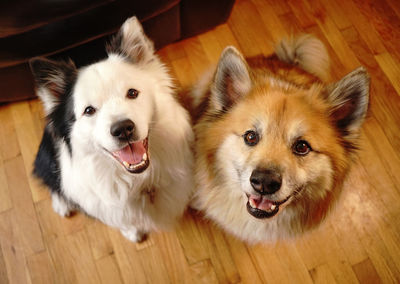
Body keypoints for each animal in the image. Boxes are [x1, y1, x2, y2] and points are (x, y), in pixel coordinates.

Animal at [29, 16, 194, 242]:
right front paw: (134, 233)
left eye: (132, 93)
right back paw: (62, 204)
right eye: (89, 110)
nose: (123, 129)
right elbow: (125, 222)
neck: (140, 181)